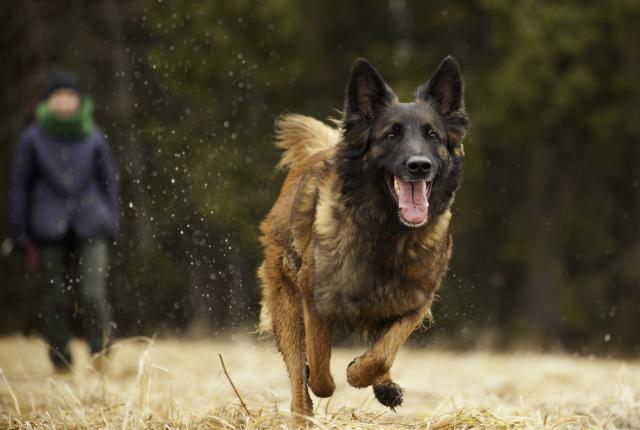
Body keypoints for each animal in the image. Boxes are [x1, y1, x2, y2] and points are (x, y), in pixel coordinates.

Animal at [258, 57, 470, 420]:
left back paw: (384, 385)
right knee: (298, 381)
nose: (419, 166)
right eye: (390, 135)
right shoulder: (315, 301)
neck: (386, 230)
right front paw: (328, 377)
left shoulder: (415, 300)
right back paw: (304, 411)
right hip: (285, 299)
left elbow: (382, 353)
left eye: (433, 135)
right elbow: (320, 373)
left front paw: (365, 375)